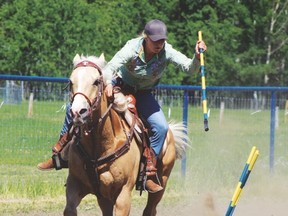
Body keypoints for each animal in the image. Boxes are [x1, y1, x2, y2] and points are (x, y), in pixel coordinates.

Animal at [64, 53, 191, 215]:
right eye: (71, 81)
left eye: (96, 81)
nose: (77, 112)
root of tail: (170, 132)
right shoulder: (74, 184)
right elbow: (70, 208)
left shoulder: (123, 194)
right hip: (104, 198)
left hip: (161, 182)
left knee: (150, 209)